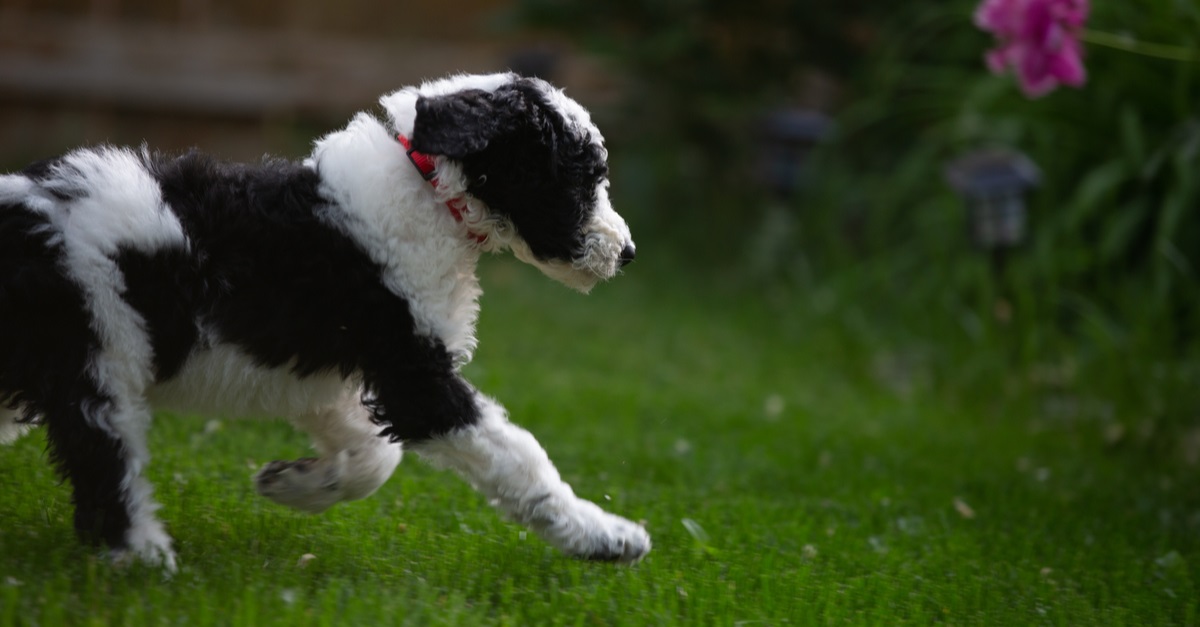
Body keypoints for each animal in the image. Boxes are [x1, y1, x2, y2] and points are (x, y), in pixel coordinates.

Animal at [0, 70, 648, 569]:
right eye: (582, 175)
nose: (628, 253)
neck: (429, 186)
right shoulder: (413, 373)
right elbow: (516, 455)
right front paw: (607, 537)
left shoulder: (316, 373)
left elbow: (374, 457)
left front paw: (294, 484)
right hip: (99, 352)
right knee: (105, 462)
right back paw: (146, 560)